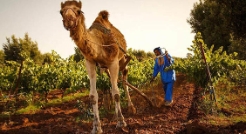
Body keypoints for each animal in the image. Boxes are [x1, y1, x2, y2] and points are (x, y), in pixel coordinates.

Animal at [60, 0, 136, 133]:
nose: (68, 20)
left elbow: (116, 93)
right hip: (106, 67)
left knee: (124, 78)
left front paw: (121, 122)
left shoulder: (113, 62)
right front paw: (96, 127)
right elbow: (93, 95)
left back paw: (131, 108)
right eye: (61, 12)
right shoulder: (90, 62)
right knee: (113, 82)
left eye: (79, 11)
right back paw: (115, 114)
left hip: (121, 59)